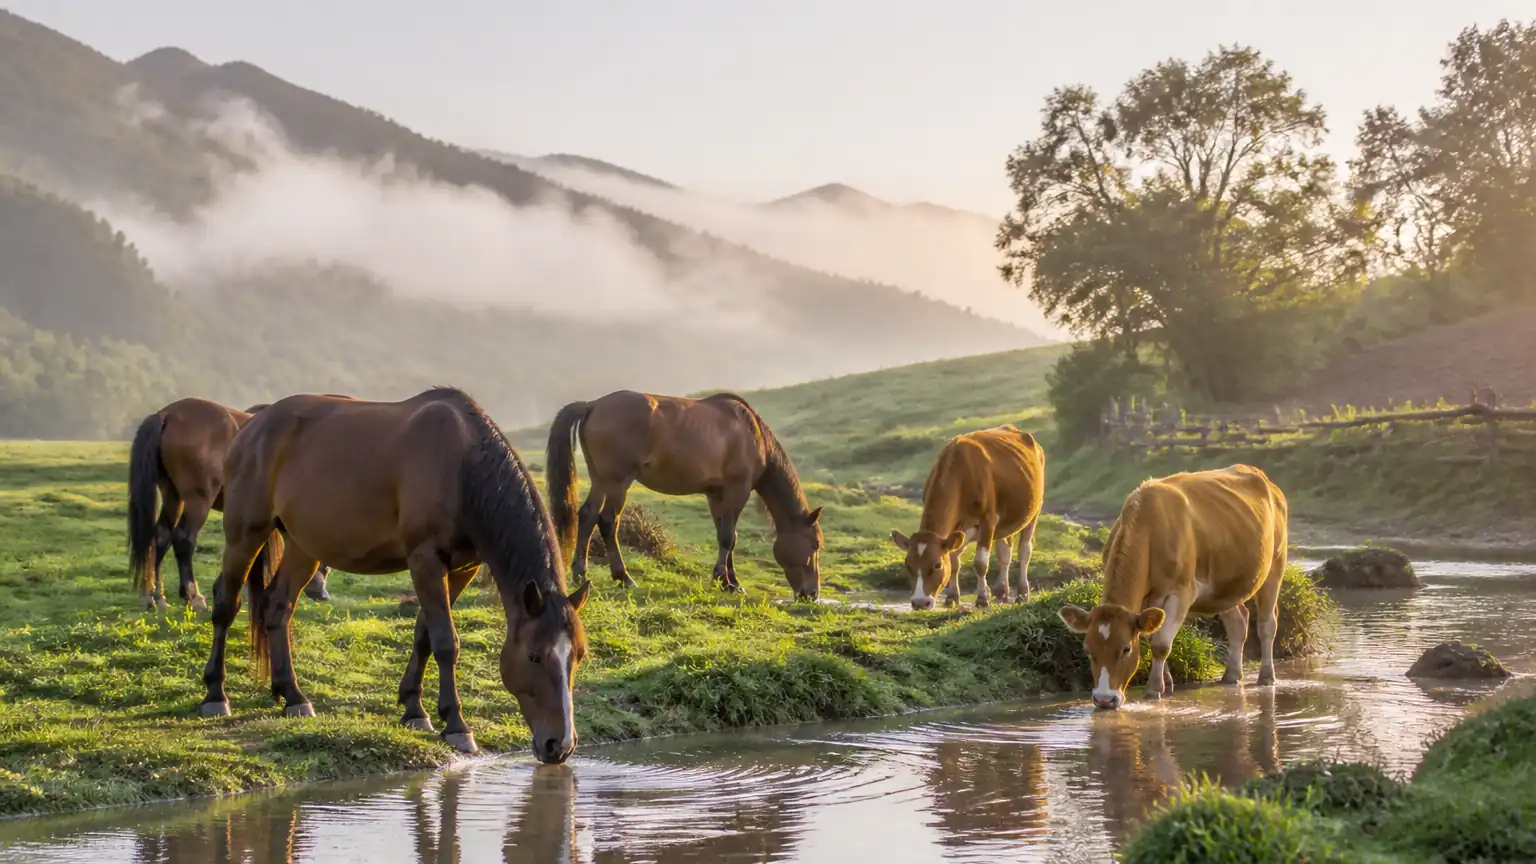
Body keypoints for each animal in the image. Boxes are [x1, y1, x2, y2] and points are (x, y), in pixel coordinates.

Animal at [127, 397, 334, 612]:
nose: (321, 593)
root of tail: (167, 414)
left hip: (173, 496)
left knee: (161, 537)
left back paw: (154, 596)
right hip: (198, 500)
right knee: (183, 539)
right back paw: (194, 598)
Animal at [197, 387, 589, 762]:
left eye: (578, 656)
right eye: (534, 656)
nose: (560, 745)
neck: (462, 467)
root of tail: (252, 426)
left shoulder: (462, 568)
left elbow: (424, 635)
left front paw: (415, 709)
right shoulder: (425, 560)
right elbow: (446, 642)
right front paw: (456, 725)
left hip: (302, 546)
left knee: (278, 609)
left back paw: (292, 695)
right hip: (245, 533)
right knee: (226, 604)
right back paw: (216, 694)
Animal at [546, 390, 823, 600]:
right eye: (815, 544)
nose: (812, 594)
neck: (752, 433)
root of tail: (593, 405)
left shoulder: (716, 496)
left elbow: (726, 537)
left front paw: (731, 581)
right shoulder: (737, 491)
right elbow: (728, 538)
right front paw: (725, 581)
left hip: (600, 480)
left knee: (587, 516)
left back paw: (581, 573)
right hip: (617, 483)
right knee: (607, 522)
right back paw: (623, 577)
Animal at [890, 425, 1046, 610]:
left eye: (937, 565)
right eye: (908, 565)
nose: (920, 602)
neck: (960, 476)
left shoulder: (988, 520)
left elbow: (980, 563)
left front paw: (982, 599)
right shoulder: (957, 529)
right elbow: (954, 561)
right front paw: (952, 597)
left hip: (1034, 510)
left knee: (1024, 550)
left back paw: (1022, 593)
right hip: (1004, 523)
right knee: (1005, 552)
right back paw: (1001, 590)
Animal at [1058, 464, 1288, 710]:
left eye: (1126, 649)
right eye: (1088, 649)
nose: (1104, 699)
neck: (1149, 529)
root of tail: (1260, 475)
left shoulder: (1181, 592)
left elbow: (1161, 644)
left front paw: (1153, 689)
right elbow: (1153, 637)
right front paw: (1166, 683)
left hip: (1275, 566)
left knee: (1267, 624)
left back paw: (1266, 676)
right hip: (1223, 587)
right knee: (1238, 622)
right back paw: (1232, 675)